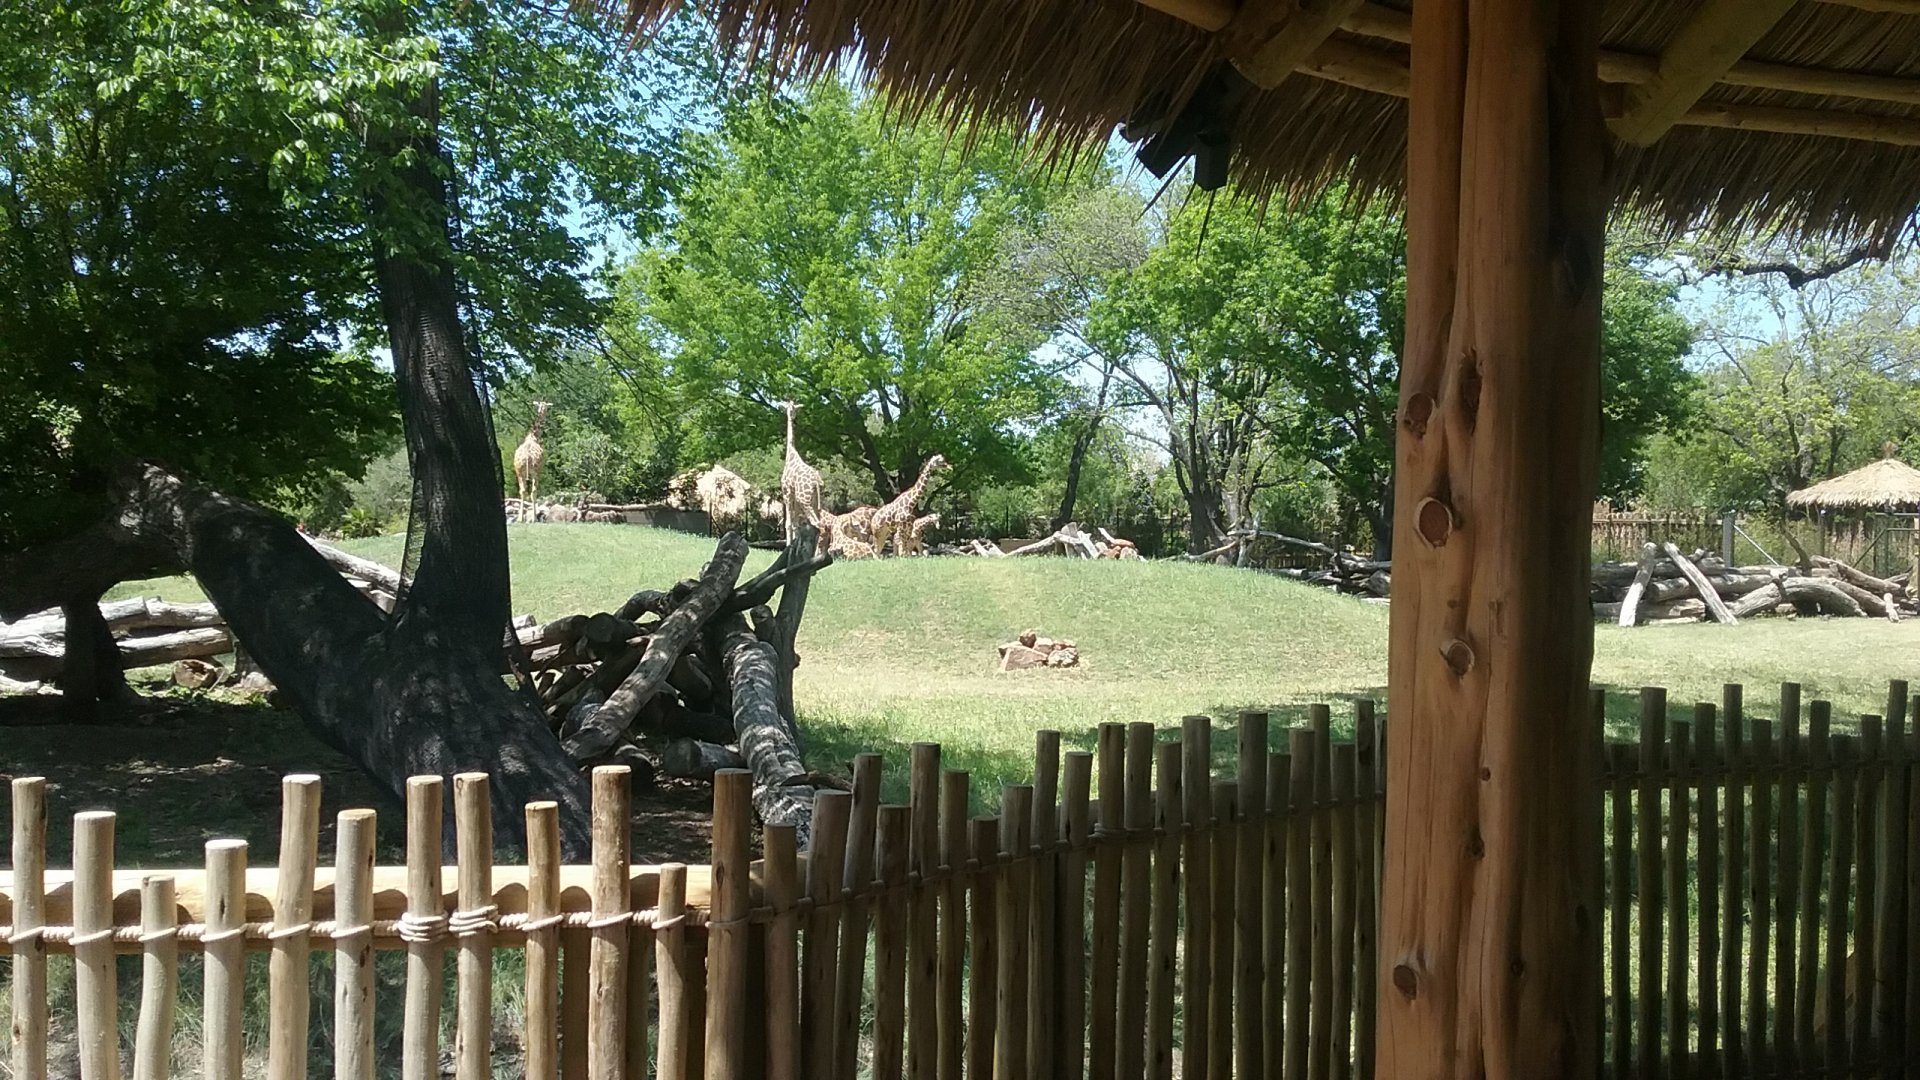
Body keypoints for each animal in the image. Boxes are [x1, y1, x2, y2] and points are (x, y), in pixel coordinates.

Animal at [780, 401, 824, 544]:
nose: (792, 414)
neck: (790, 455)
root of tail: (816, 482)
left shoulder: (787, 493)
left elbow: (788, 523)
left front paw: (788, 545)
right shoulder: (795, 497)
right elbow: (796, 524)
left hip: (805, 501)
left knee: (817, 524)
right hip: (814, 502)